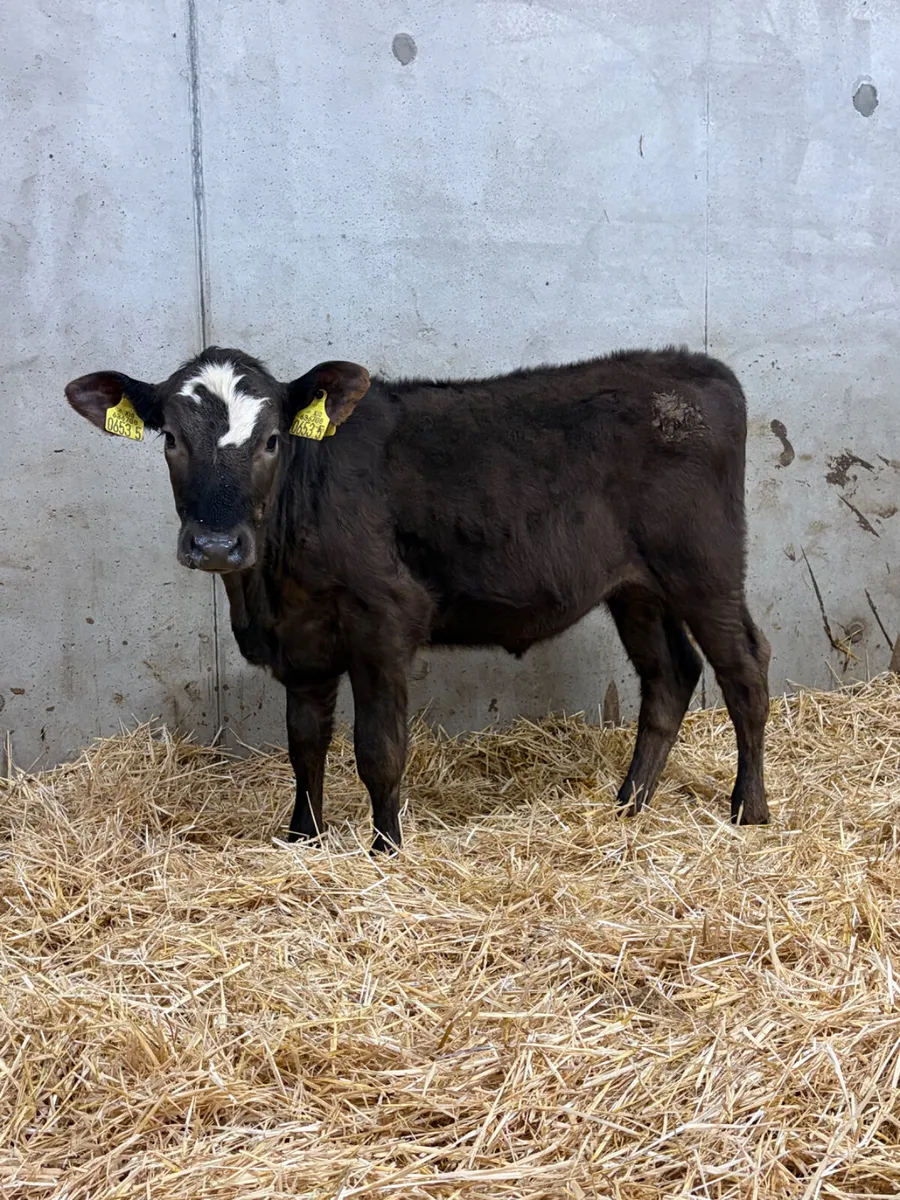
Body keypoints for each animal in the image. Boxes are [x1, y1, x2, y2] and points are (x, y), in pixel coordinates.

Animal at [65, 345, 770, 851]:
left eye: (271, 440)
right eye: (171, 439)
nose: (215, 544)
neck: (266, 591)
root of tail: (697, 366)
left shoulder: (385, 621)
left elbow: (379, 749)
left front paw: (386, 849)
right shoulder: (303, 645)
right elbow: (305, 746)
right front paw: (301, 840)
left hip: (705, 567)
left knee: (745, 669)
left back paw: (750, 809)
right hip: (636, 588)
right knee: (670, 675)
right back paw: (630, 804)